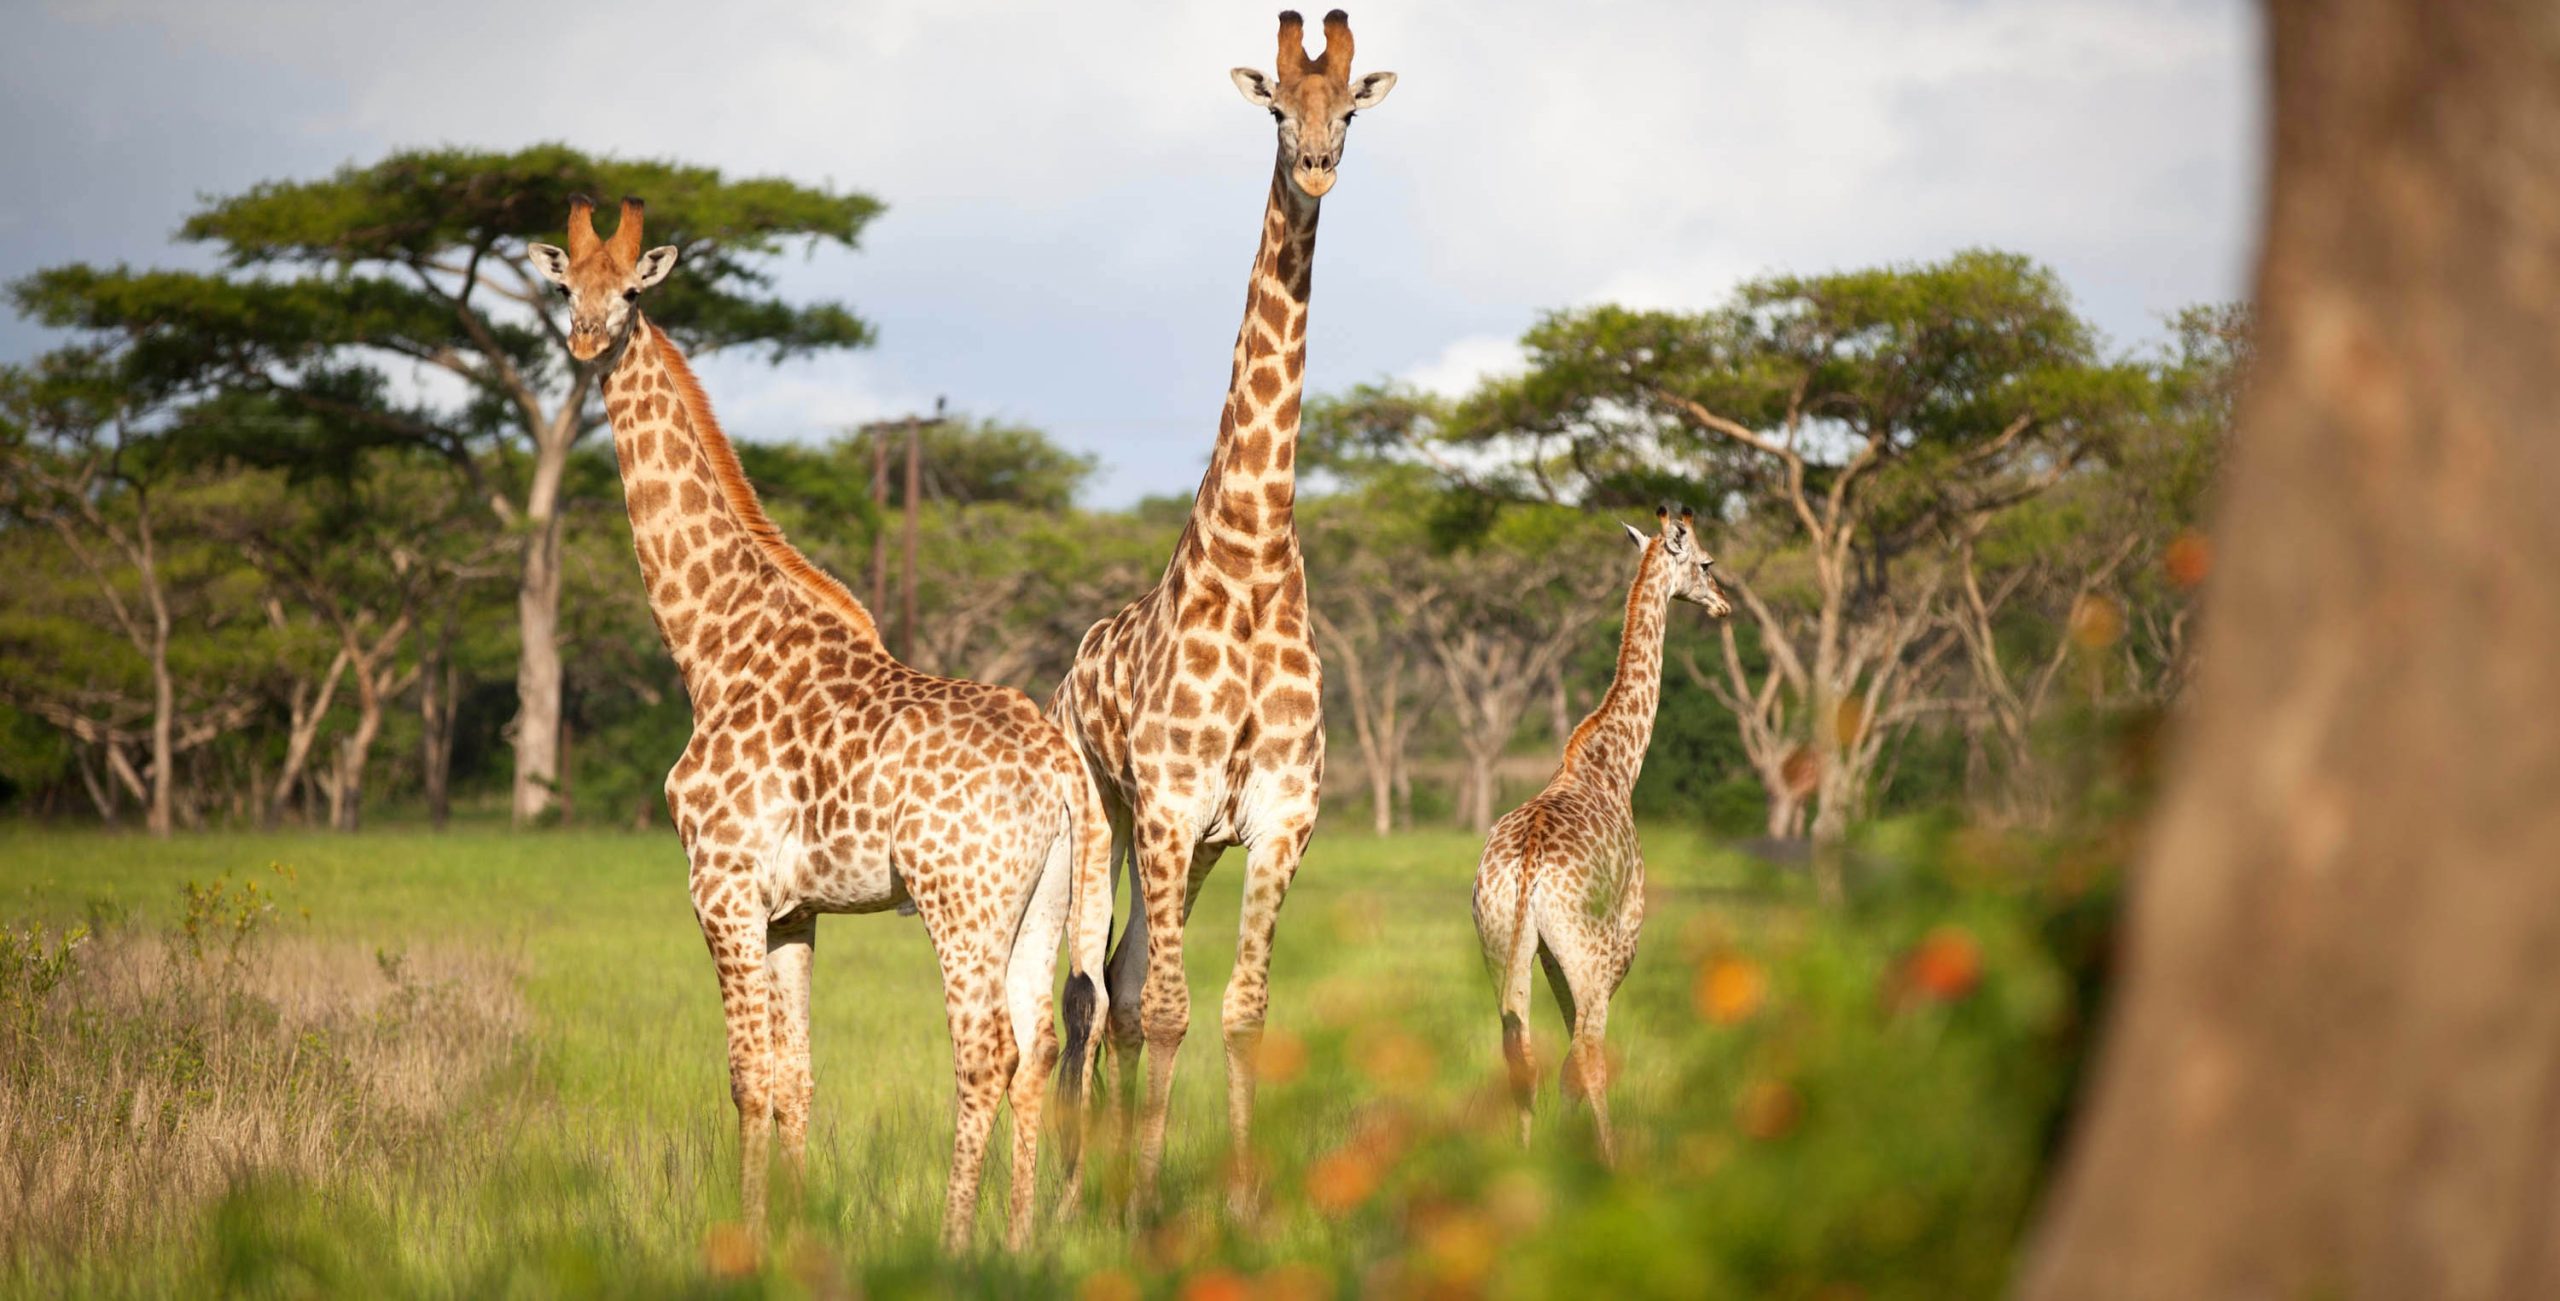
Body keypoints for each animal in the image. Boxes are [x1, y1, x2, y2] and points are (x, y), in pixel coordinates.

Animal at [525, 197, 1111, 1252]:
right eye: (565, 287)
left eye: (630, 292)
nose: (587, 339)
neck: (710, 643)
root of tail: (1062, 768)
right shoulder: (792, 906)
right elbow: (798, 1076)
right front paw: (793, 1237)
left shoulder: (719, 886)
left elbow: (746, 1077)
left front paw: (744, 1238)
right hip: (1044, 899)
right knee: (1042, 1043)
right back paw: (1016, 1242)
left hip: (960, 899)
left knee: (985, 1050)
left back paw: (957, 1245)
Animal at [1046, 9, 1397, 1217]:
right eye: (1277, 109)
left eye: (1349, 111)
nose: (1318, 166)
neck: (1247, 557)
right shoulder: (1166, 801)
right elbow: (1165, 1010)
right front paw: (1146, 1204)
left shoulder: (1280, 815)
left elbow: (1242, 1012)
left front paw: (1240, 1203)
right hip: (1106, 811)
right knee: (1092, 987)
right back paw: (1079, 1192)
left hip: (1191, 844)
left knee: (1117, 976)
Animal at [1472, 507, 1733, 1165]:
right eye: (1707, 562)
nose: (1723, 604)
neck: (1615, 764)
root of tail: (1527, 868)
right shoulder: (1625, 936)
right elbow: (1586, 1053)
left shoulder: (1546, 952)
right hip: (1589, 949)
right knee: (1587, 1055)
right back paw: (1613, 1164)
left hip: (1501, 942)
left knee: (1520, 1052)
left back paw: (1523, 1163)